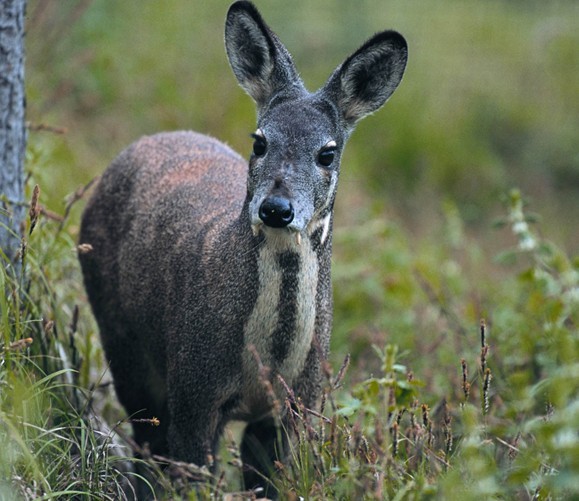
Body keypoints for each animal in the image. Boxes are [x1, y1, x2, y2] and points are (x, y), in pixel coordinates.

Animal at [79, 0, 408, 492]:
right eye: (260, 141)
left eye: (327, 153)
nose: (276, 208)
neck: (267, 364)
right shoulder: (193, 389)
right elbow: (190, 476)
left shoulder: (296, 406)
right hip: (123, 341)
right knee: (145, 440)